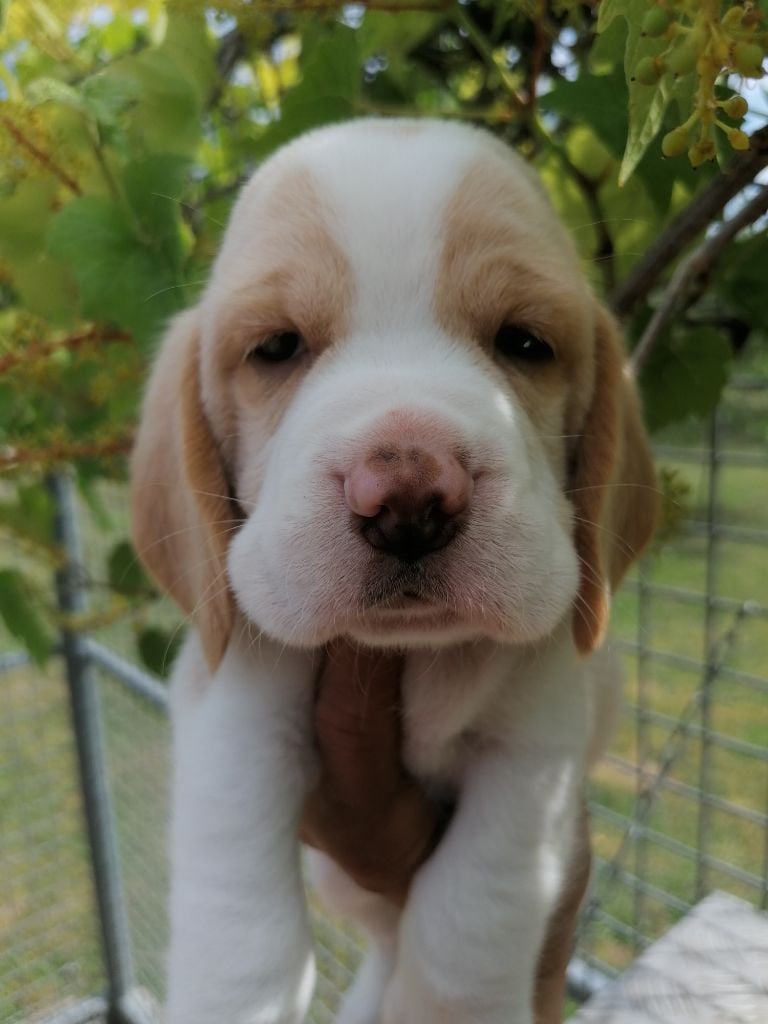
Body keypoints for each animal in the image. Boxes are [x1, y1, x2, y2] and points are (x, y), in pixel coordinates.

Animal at [131, 116, 655, 1019]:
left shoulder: (534, 753)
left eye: (525, 342)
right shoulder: (232, 707)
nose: (410, 499)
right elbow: (240, 915)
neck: (413, 658)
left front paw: (448, 1005)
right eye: (276, 348)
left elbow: (469, 917)